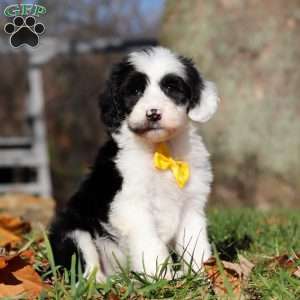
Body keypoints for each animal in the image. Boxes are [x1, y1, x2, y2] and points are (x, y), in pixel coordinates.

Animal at [48, 47, 218, 282]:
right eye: (135, 91)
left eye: (171, 88)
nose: (153, 113)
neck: (161, 150)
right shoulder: (132, 206)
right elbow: (150, 244)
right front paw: (161, 278)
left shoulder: (191, 205)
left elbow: (195, 243)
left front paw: (200, 275)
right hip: (73, 230)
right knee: (83, 265)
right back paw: (100, 283)